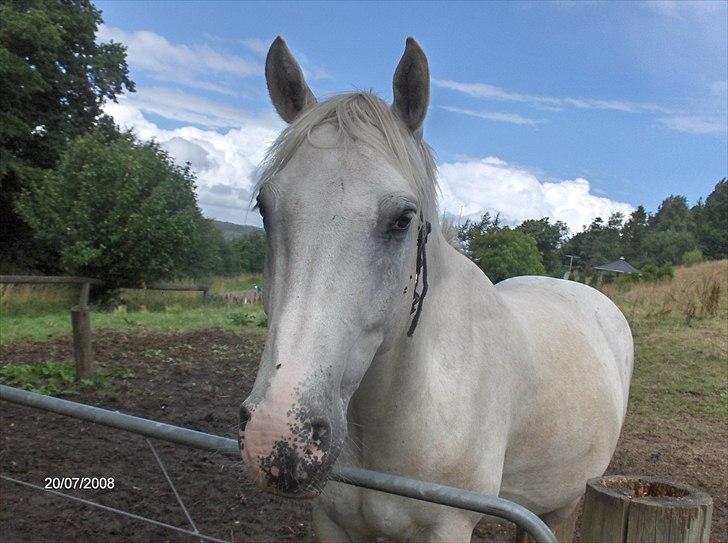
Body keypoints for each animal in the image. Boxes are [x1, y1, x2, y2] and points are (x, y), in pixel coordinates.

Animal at [240, 38, 632, 543]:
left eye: (403, 218)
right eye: (265, 207)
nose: (277, 438)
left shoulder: (448, 527)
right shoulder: (332, 522)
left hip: (564, 506)